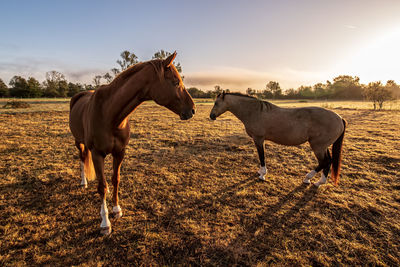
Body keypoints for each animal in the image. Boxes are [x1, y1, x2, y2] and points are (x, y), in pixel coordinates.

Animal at [69, 52, 195, 234]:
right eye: (176, 82)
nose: (192, 110)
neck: (109, 115)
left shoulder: (120, 152)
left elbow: (115, 179)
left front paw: (116, 209)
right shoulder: (97, 154)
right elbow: (102, 186)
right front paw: (105, 223)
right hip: (79, 142)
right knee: (82, 159)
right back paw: (83, 182)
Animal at [209, 93, 346, 187]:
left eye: (216, 103)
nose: (211, 116)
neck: (255, 112)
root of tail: (339, 118)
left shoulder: (258, 139)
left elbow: (262, 156)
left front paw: (262, 174)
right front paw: (260, 172)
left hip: (318, 146)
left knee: (324, 162)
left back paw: (308, 178)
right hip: (323, 146)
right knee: (329, 161)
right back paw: (319, 182)